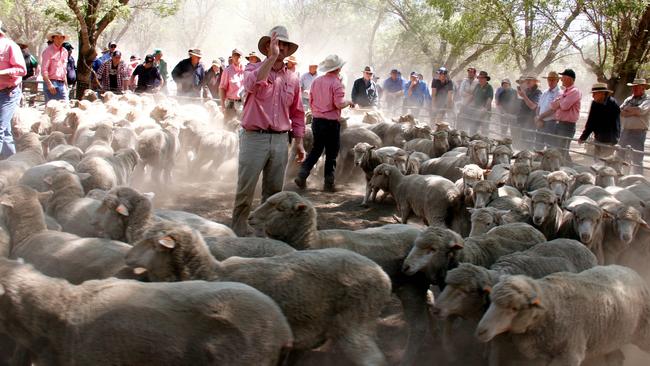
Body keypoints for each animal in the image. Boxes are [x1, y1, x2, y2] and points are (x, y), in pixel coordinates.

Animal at [474, 264, 648, 364]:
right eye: (491, 301)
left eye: (514, 308)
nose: (481, 331)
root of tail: (632, 271)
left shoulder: (569, 355)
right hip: (612, 338)